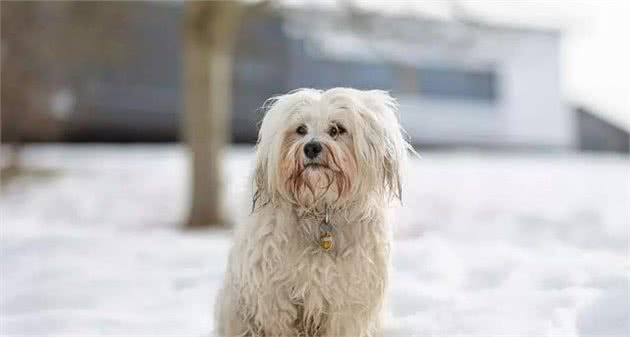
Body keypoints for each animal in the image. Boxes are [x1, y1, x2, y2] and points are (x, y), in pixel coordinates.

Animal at [217, 87, 412, 336]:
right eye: (301, 129)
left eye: (336, 129)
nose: (311, 147)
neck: (320, 209)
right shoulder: (274, 298)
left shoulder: (349, 300)